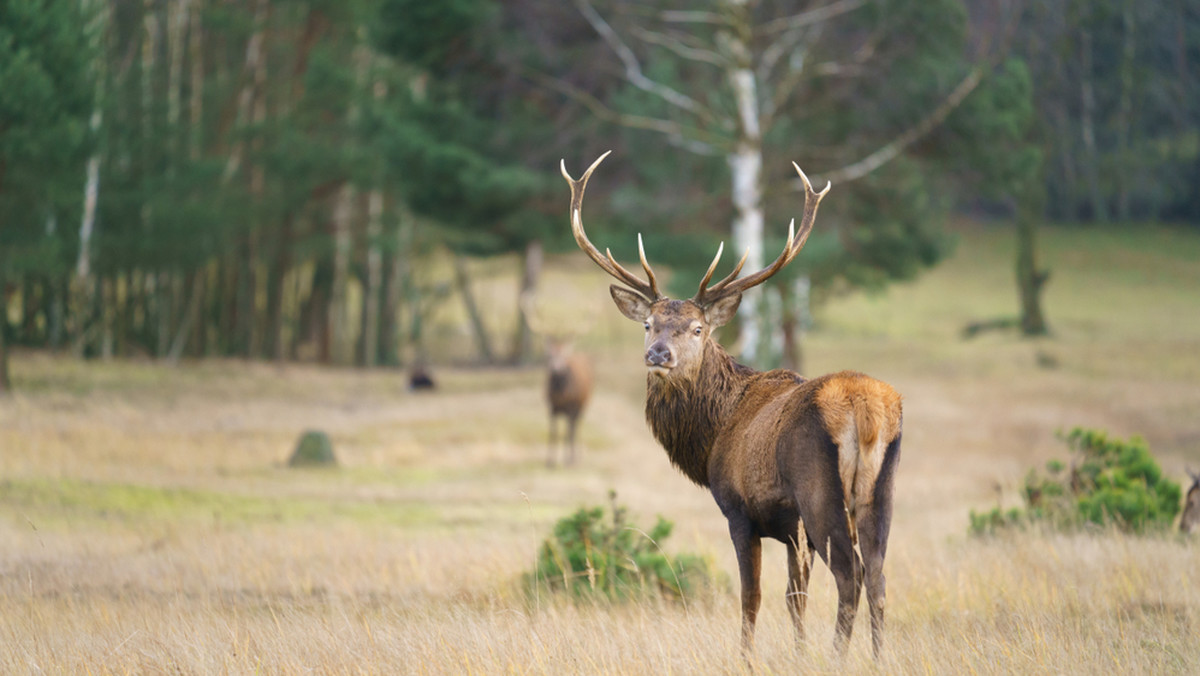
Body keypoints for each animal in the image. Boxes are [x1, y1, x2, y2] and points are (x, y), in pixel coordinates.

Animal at [520, 294, 595, 468]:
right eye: (549, 354)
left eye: (564, 355)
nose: (556, 368)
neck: (562, 396)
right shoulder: (551, 406)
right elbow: (553, 432)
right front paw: (550, 461)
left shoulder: (572, 406)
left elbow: (569, 432)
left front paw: (570, 460)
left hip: (584, 404)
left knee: (576, 427)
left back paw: (577, 456)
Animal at [561, 151, 902, 657]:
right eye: (648, 324)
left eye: (698, 329)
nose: (657, 354)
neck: (712, 433)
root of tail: (866, 409)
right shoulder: (791, 530)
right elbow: (794, 597)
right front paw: (798, 655)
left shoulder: (742, 511)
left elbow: (752, 596)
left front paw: (749, 657)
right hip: (881, 493)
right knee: (878, 576)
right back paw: (878, 660)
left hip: (821, 495)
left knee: (851, 575)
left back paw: (838, 658)